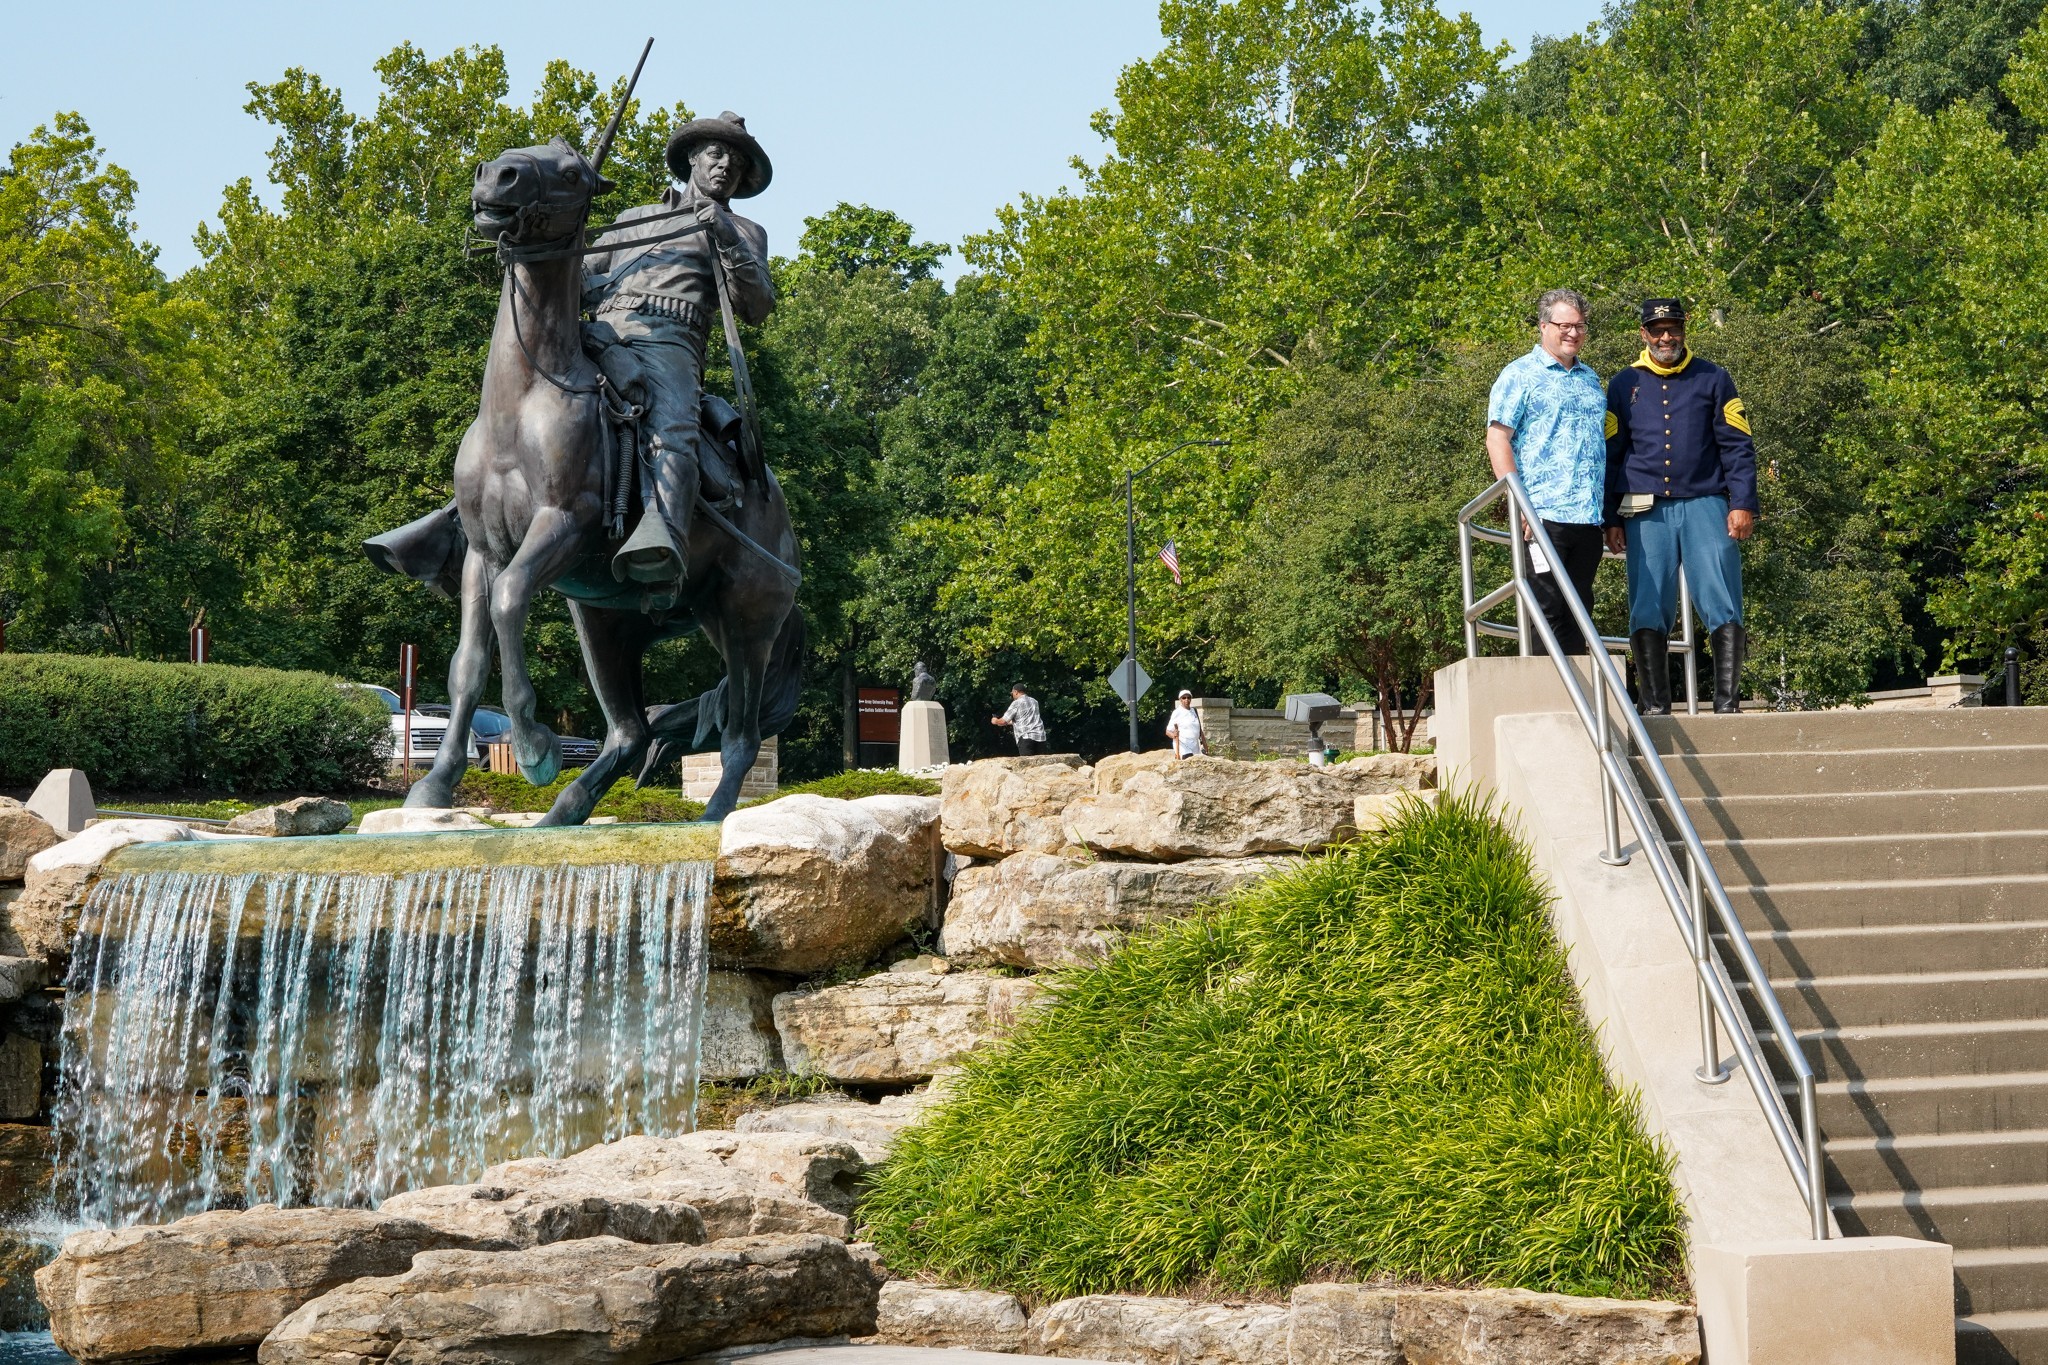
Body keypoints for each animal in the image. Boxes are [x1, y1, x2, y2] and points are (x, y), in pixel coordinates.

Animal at [372, 136, 802, 822]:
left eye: (574, 174)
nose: (496, 176)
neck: (524, 398)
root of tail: (785, 532)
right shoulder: (483, 550)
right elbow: (468, 663)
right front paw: (434, 786)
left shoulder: (563, 526)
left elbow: (510, 600)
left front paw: (533, 746)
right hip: (607, 622)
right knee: (632, 732)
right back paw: (561, 812)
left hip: (744, 622)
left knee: (741, 733)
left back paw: (711, 816)